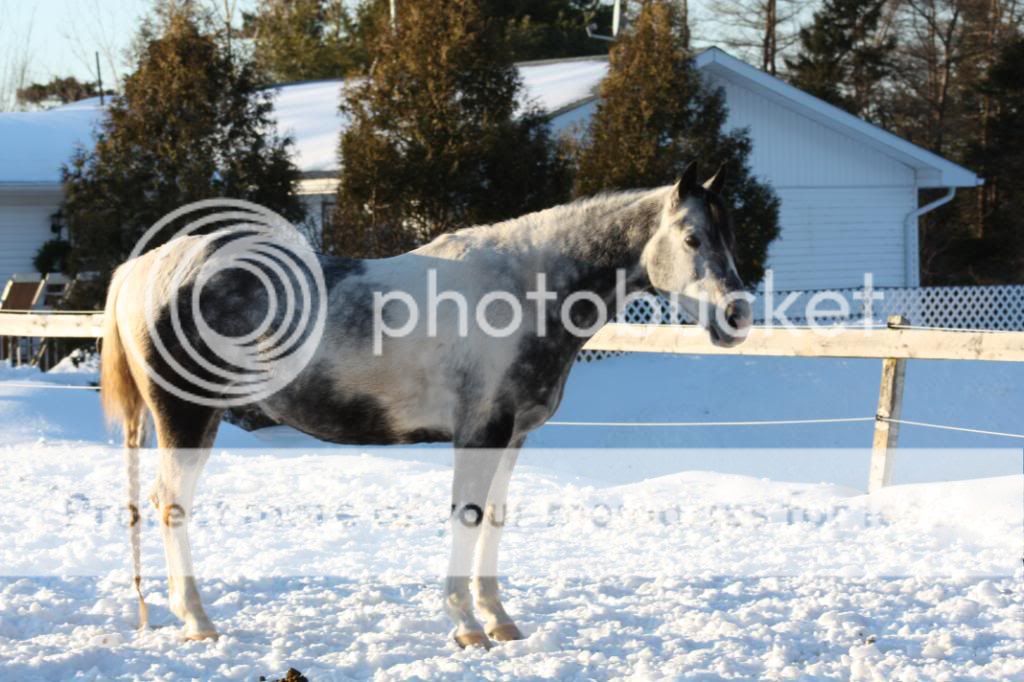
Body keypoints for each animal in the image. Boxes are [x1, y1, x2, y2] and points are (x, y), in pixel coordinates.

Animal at [99, 161, 753, 647]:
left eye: (731, 236)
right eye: (692, 237)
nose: (737, 317)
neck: (522, 290)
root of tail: (145, 267)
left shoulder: (514, 435)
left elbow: (494, 518)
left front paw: (499, 620)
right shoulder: (479, 432)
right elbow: (467, 518)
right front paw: (466, 626)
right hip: (186, 416)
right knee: (171, 505)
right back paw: (198, 621)